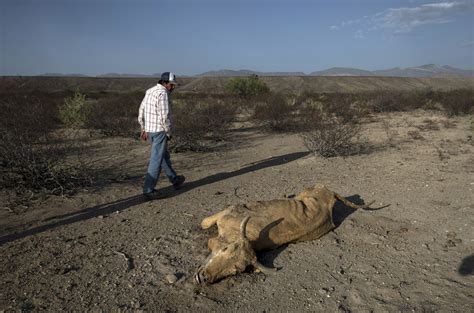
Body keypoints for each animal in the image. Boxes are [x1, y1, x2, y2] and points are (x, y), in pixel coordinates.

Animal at [194, 183, 372, 282]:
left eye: (235, 271)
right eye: (225, 250)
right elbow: (205, 224)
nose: (203, 278)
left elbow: (205, 226)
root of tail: (330, 192)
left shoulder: (227, 212)